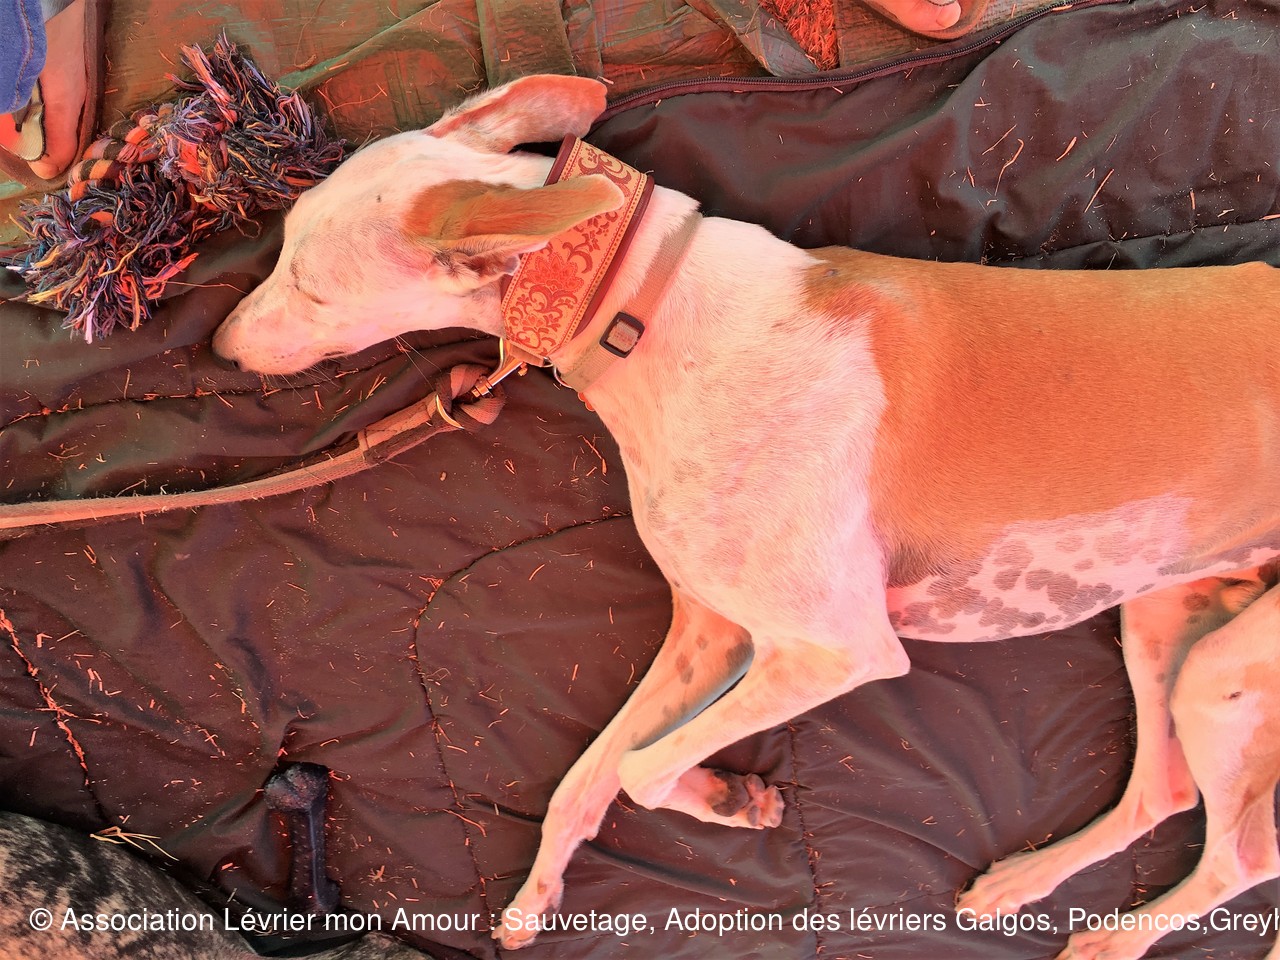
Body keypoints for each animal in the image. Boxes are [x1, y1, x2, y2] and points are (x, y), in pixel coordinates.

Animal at [212, 74, 1280, 960]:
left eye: (308, 283)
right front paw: (544, 891)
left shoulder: (835, 649)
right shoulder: (710, 632)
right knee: (1165, 790)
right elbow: (588, 776)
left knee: (1240, 855)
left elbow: (641, 768)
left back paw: (1111, 940)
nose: (218, 345)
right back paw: (1022, 883)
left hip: (1229, 671)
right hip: (1167, 613)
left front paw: (719, 792)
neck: (648, 313)